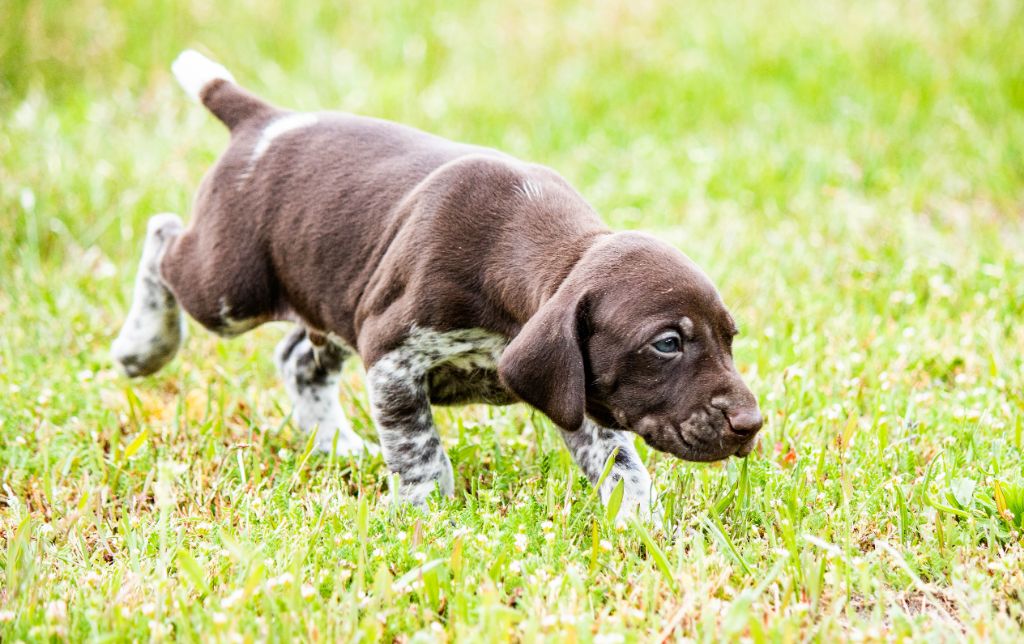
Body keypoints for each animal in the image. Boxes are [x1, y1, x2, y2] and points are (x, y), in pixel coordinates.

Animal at [112, 50, 761, 522]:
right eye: (667, 344)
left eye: (730, 338)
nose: (751, 424)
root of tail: (264, 119)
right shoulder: (392, 358)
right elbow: (419, 450)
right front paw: (423, 515)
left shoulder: (577, 392)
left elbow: (622, 463)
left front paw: (639, 525)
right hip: (229, 288)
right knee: (163, 237)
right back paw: (144, 345)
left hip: (332, 299)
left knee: (298, 359)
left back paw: (337, 445)